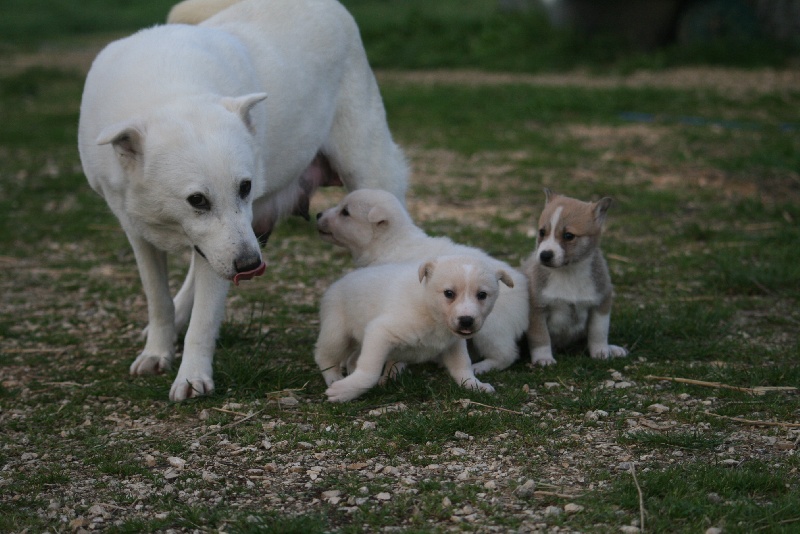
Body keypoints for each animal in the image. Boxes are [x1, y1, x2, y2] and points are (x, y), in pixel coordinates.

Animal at [77, 0, 406, 402]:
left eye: (246, 187)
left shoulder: (225, 250)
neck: (167, 92)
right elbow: (158, 299)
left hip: (371, 175)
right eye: (197, 200)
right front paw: (157, 351)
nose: (251, 265)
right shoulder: (138, 229)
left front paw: (192, 377)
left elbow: (204, 321)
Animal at [314, 255, 512, 402]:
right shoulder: (380, 332)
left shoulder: (453, 343)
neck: (429, 309)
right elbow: (369, 372)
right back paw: (334, 377)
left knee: (352, 358)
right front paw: (344, 391)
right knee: (324, 355)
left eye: (482, 295)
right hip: (337, 333)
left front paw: (474, 385)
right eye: (449, 293)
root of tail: (337, 283)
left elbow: (463, 366)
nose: (466, 321)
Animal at [316, 191, 528, 374]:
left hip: (491, 329)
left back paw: (480, 367)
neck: (389, 243)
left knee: (505, 355)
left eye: (345, 212)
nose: (317, 213)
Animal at [520, 189, 628, 368]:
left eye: (568, 236)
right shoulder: (536, 310)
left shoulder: (602, 303)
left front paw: (602, 351)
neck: (569, 272)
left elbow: (599, 331)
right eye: (542, 232)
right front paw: (544, 358)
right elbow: (541, 337)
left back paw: (613, 349)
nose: (545, 255)